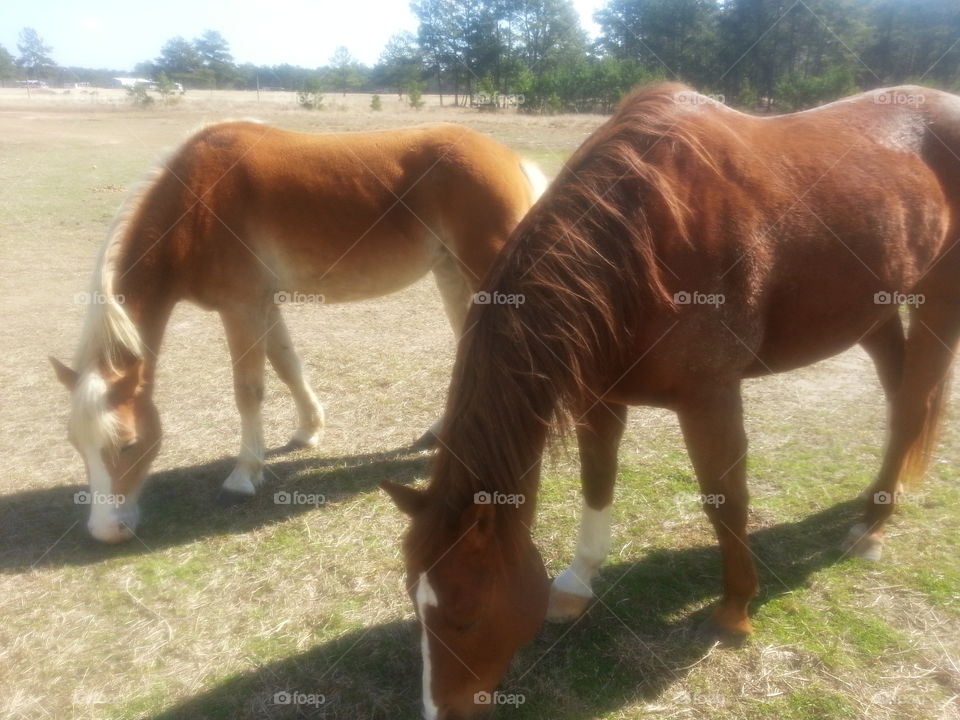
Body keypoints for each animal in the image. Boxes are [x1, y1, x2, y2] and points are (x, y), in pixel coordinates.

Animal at [50, 120, 547, 543]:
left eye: (128, 445)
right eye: (76, 444)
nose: (105, 531)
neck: (195, 202)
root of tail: (510, 158)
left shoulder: (241, 307)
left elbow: (248, 389)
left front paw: (243, 475)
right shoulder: (264, 304)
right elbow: (287, 365)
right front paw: (309, 430)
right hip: (453, 276)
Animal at [383, 82, 960, 718]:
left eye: (465, 617)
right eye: (415, 605)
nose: (439, 712)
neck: (641, 237)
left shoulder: (709, 398)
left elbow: (726, 501)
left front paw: (734, 611)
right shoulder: (599, 397)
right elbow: (597, 482)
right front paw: (577, 582)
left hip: (937, 302)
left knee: (914, 406)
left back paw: (873, 527)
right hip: (873, 311)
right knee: (901, 403)